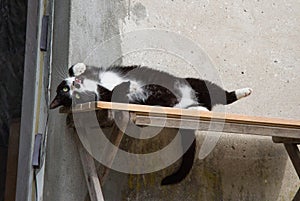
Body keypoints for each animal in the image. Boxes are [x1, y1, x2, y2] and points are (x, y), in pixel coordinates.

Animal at [50, 62, 252, 185]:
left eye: (65, 89)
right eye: (74, 96)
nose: (74, 84)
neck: (97, 86)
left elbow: (78, 66)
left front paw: (78, 68)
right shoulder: (114, 97)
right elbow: (117, 92)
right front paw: (127, 87)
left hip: (196, 83)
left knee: (221, 94)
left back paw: (243, 91)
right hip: (178, 105)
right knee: (185, 108)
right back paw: (200, 110)